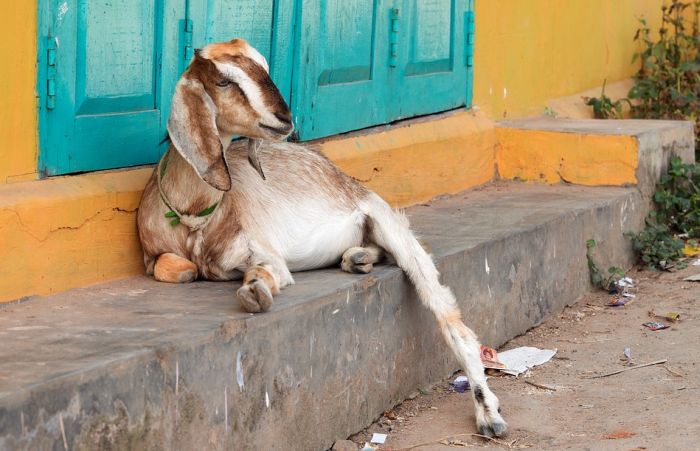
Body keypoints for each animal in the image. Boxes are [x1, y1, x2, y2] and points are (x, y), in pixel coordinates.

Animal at [137, 38, 508, 438]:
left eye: (262, 65)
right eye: (223, 80)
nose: (285, 118)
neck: (193, 217)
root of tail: (339, 173)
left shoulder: (263, 251)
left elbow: (265, 272)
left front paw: (255, 291)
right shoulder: (153, 255)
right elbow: (170, 267)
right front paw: (192, 271)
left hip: (388, 221)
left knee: (451, 318)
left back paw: (489, 413)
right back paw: (357, 259)